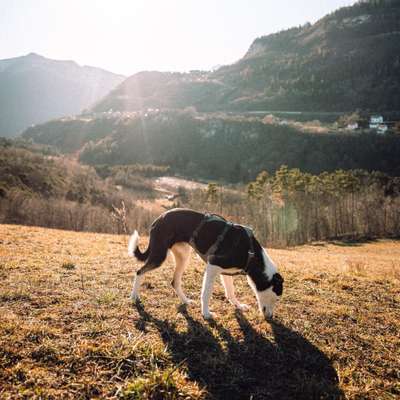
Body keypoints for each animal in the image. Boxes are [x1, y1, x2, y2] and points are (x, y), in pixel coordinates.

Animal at [126, 209, 282, 318]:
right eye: (276, 298)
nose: (270, 317)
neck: (251, 252)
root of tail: (158, 219)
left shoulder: (225, 272)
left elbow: (230, 292)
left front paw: (238, 305)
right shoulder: (212, 266)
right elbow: (206, 293)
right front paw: (206, 314)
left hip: (183, 256)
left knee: (174, 282)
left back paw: (186, 301)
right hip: (159, 256)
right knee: (139, 271)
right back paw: (133, 296)